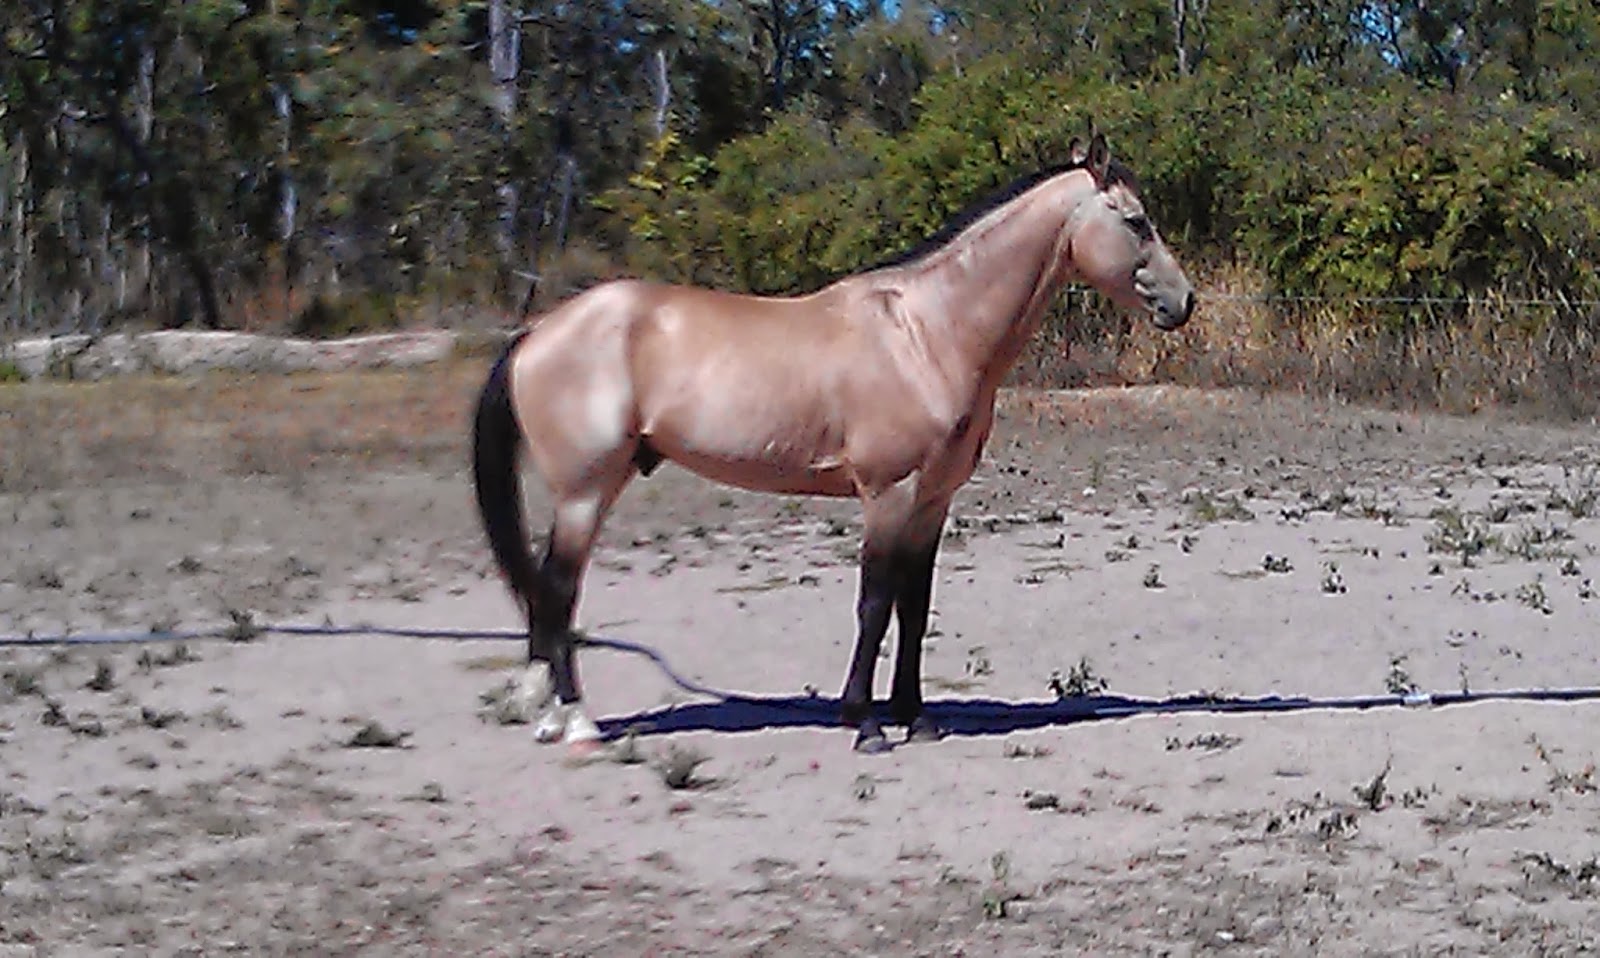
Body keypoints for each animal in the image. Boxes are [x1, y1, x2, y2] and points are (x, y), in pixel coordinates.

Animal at [471, 130, 1195, 755]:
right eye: (1137, 222)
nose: (1183, 303)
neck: (925, 333)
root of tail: (537, 333)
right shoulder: (887, 493)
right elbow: (874, 604)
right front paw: (865, 724)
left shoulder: (933, 501)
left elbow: (914, 606)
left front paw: (916, 718)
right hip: (585, 492)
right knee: (558, 591)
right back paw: (576, 723)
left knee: (552, 594)